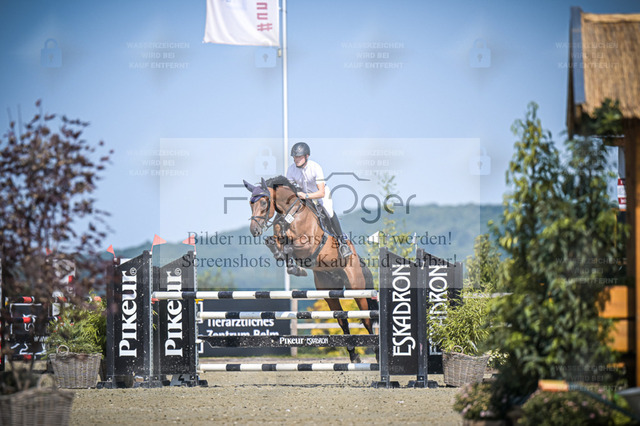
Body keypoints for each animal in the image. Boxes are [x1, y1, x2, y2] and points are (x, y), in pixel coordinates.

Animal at [243, 175, 378, 363]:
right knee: (342, 319)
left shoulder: (307, 244)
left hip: (356, 287)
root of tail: (357, 259)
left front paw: (293, 265)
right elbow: (273, 242)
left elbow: (290, 246)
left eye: (264, 202)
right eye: (250, 203)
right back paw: (354, 356)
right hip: (329, 290)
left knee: (366, 319)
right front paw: (288, 263)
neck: (290, 214)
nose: (254, 230)